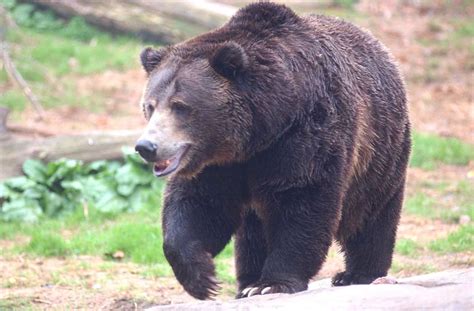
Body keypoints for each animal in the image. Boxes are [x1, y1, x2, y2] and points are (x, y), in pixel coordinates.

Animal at [133, 1, 412, 300]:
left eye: (181, 106)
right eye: (150, 105)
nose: (146, 147)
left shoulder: (307, 134)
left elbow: (302, 202)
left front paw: (273, 283)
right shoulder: (219, 164)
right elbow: (199, 205)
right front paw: (202, 277)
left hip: (381, 150)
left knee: (370, 215)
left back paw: (358, 274)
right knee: (252, 233)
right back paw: (246, 282)